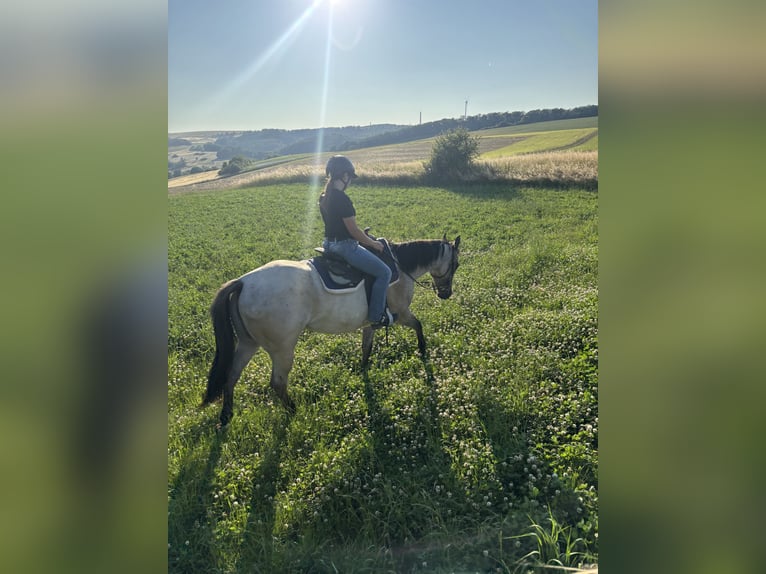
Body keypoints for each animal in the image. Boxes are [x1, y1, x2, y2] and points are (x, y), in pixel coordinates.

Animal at [201, 234, 461, 426]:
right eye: (456, 264)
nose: (445, 294)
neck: (399, 266)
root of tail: (243, 282)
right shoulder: (401, 314)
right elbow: (419, 326)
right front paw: (423, 351)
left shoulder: (371, 322)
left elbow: (366, 347)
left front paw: (363, 371)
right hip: (282, 349)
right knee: (277, 383)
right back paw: (294, 410)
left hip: (248, 343)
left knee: (231, 375)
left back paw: (226, 415)